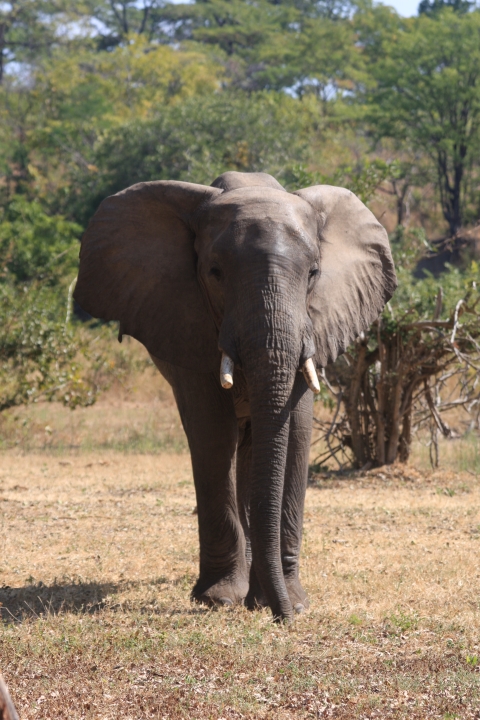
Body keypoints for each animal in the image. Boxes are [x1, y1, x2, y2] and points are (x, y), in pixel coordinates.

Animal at [74, 172, 398, 620]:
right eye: (214, 272)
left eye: (314, 273)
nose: (284, 619)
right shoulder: (186, 322)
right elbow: (212, 433)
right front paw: (219, 599)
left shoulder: (315, 322)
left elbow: (296, 431)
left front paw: (291, 601)